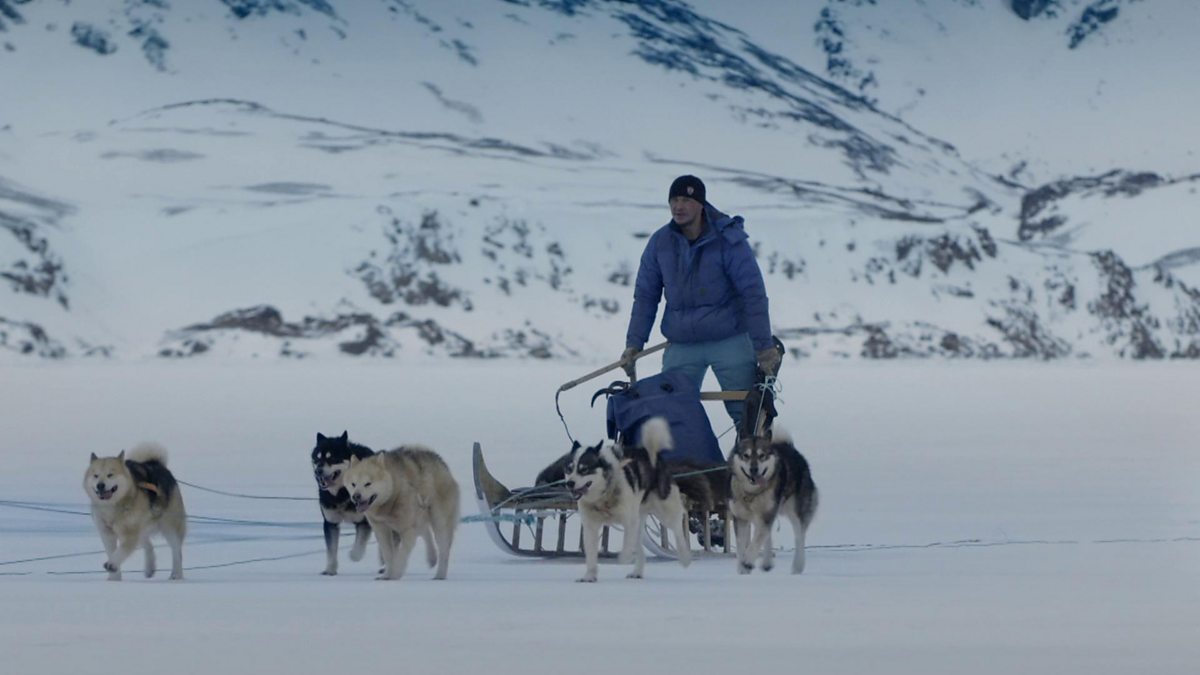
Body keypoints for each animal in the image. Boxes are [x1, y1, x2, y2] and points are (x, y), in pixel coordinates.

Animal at [84, 441, 186, 578]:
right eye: (96, 475)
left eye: (110, 474)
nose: (100, 485)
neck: (112, 507)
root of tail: (156, 464)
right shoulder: (107, 533)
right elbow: (112, 552)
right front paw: (114, 578)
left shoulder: (130, 533)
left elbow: (121, 551)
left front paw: (112, 564)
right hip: (143, 527)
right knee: (148, 545)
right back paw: (150, 567)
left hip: (169, 527)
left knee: (177, 551)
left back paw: (176, 575)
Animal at [348, 446, 463, 578]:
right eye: (353, 484)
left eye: (368, 483)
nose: (356, 496)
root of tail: (443, 465)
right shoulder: (381, 529)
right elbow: (388, 555)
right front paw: (387, 575)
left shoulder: (408, 529)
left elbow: (401, 555)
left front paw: (395, 574)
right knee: (426, 532)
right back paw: (432, 559)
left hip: (439, 523)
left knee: (444, 550)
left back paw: (440, 575)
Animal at [564, 415, 696, 578]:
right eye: (569, 469)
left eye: (584, 469)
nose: (569, 483)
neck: (604, 496)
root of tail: (651, 454)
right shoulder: (590, 526)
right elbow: (591, 553)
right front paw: (589, 576)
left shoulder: (629, 520)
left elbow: (627, 545)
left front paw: (624, 558)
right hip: (641, 519)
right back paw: (637, 571)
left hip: (665, 510)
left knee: (677, 529)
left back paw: (684, 557)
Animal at [720, 429, 816, 571]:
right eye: (746, 455)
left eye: (762, 456)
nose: (753, 470)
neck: (752, 494)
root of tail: (791, 448)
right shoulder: (740, 518)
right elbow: (742, 547)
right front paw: (742, 567)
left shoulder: (766, 515)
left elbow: (756, 541)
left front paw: (748, 561)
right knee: (768, 534)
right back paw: (767, 563)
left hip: (794, 510)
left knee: (799, 536)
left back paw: (797, 566)